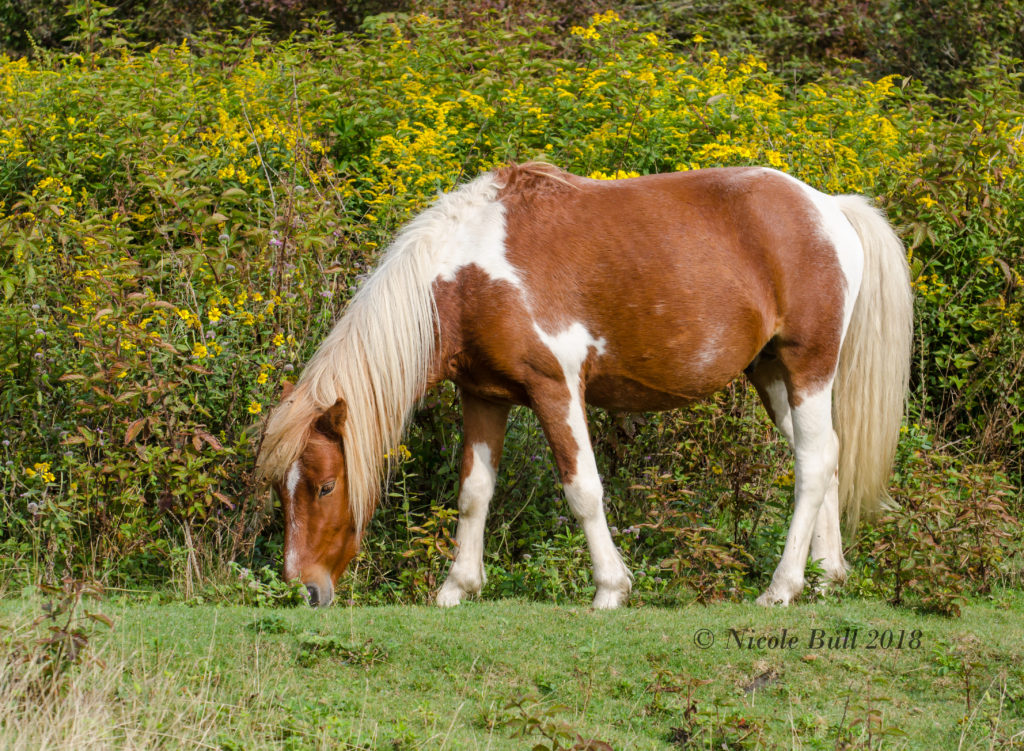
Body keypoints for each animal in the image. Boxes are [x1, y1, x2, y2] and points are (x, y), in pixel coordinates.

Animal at [256, 162, 913, 610]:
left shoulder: (557, 390)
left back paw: (782, 588)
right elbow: (474, 493)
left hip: (808, 367)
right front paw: (457, 587)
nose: (304, 588)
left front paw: (610, 588)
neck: (470, 275)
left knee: (813, 461)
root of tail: (829, 207)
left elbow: (584, 489)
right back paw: (827, 576)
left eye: (324, 486)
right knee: (827, 455)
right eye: (280, 493)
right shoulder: (483, 396)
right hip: (773, 374)